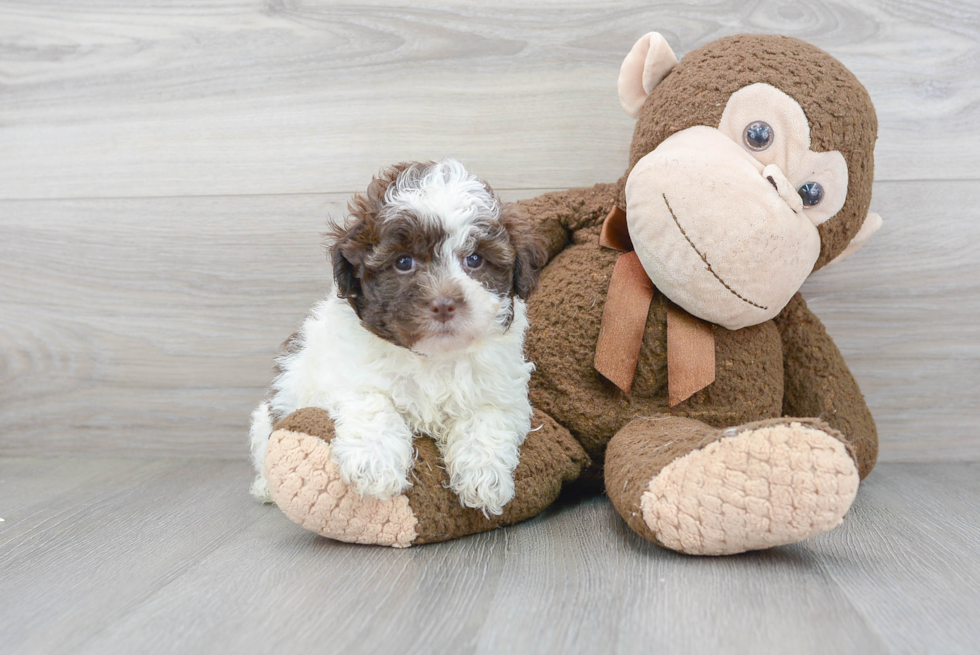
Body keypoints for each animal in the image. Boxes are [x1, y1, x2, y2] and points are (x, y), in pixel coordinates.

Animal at [249, 160, 548, 516]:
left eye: (475, 259)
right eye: (404, 262)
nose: (444, 304)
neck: (432, 358)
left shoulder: (502, 389)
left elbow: (487, 418)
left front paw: (483, 477)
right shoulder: (345, 375)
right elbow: (373, 402)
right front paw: (374, 464)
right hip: (270, 412)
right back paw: (265, 487)